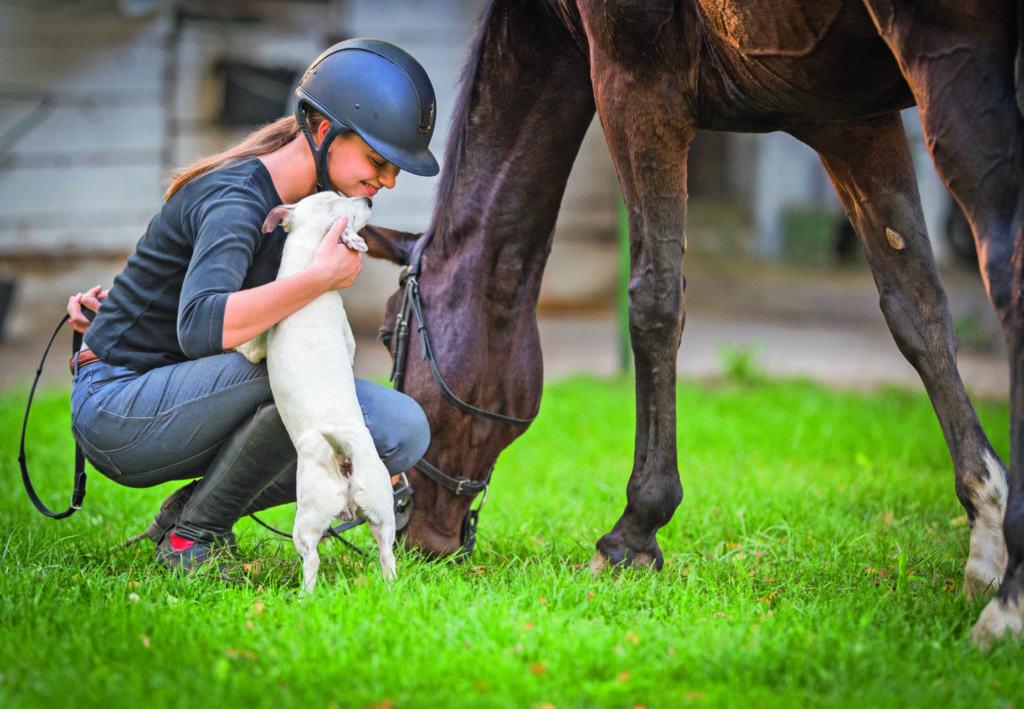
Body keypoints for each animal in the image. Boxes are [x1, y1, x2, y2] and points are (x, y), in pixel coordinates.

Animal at [237, 192, 397, 594]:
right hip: (381, 513)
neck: (305, 262)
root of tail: (345, 456)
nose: (368, 198)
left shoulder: (258, 346)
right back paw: (390, 590)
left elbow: (245, 347)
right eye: (343, 202)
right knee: (387, 555)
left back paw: (304, 597)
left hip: (307, 520)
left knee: (311, 560)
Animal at [366, 0, 1024, 643]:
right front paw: (986, 529)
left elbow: (654, 302)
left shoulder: (636, 84)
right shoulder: (854, 121)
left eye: (388, 334)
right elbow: (916, 309)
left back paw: (1006, 613)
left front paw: (633, 535)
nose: (415, 537)